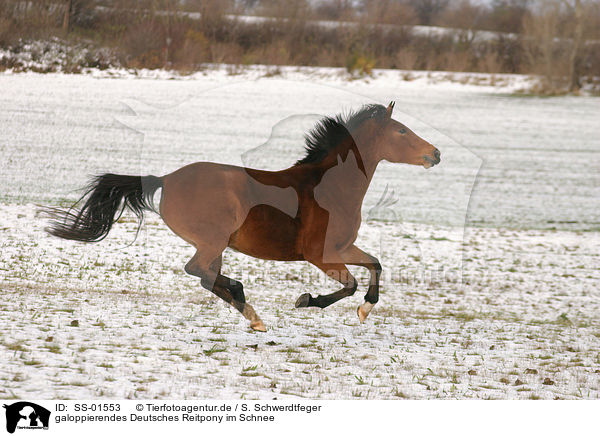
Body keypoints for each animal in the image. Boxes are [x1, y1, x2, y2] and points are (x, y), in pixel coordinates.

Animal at [45, 102, 440, 330]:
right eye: (401, 130)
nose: (435, 154)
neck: (329, 187)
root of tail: (166, 179)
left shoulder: (342, 247)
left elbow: (374, 265)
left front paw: (365, 311)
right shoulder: (319, 253)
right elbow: (351, 284)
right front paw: (307, 300)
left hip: (215, 244)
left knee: (205, 275)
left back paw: (248, 309)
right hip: (213, 240)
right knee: (200, 272)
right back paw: (248, 307)